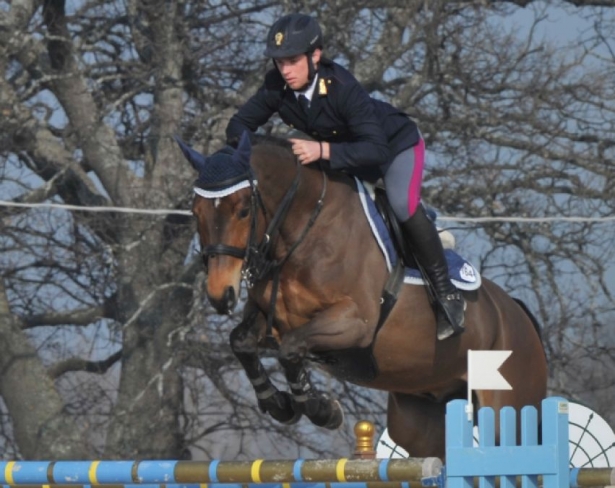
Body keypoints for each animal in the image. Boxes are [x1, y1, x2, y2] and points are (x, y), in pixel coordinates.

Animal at [178, 131, 548, 458]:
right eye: (196, 212)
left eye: (243, 209)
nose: (220, 294)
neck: (303, 229)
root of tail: (519, 316)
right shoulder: (268, 317)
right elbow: (241, 342)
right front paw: (279, 403)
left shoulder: (355, 323)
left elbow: (291, 348)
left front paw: (321, 409)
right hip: (420, 419)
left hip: (508, 414)